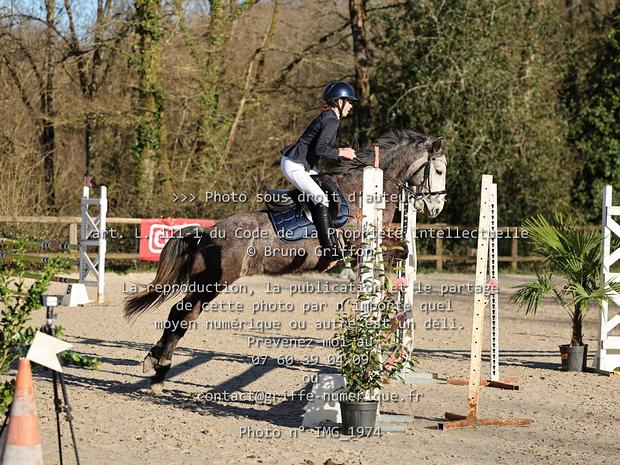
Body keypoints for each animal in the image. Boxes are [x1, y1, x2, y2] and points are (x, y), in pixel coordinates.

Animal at [124, 129, 447, 393]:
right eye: (439, 169)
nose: (435, 208)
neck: (365, 190)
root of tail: (207, 232)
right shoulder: (360, 245)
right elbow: (395, 251)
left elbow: (402, 249)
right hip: (213, 283)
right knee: (179, 315)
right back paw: (158, 367)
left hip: (208, 285)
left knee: (181, 317)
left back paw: (157, 368)